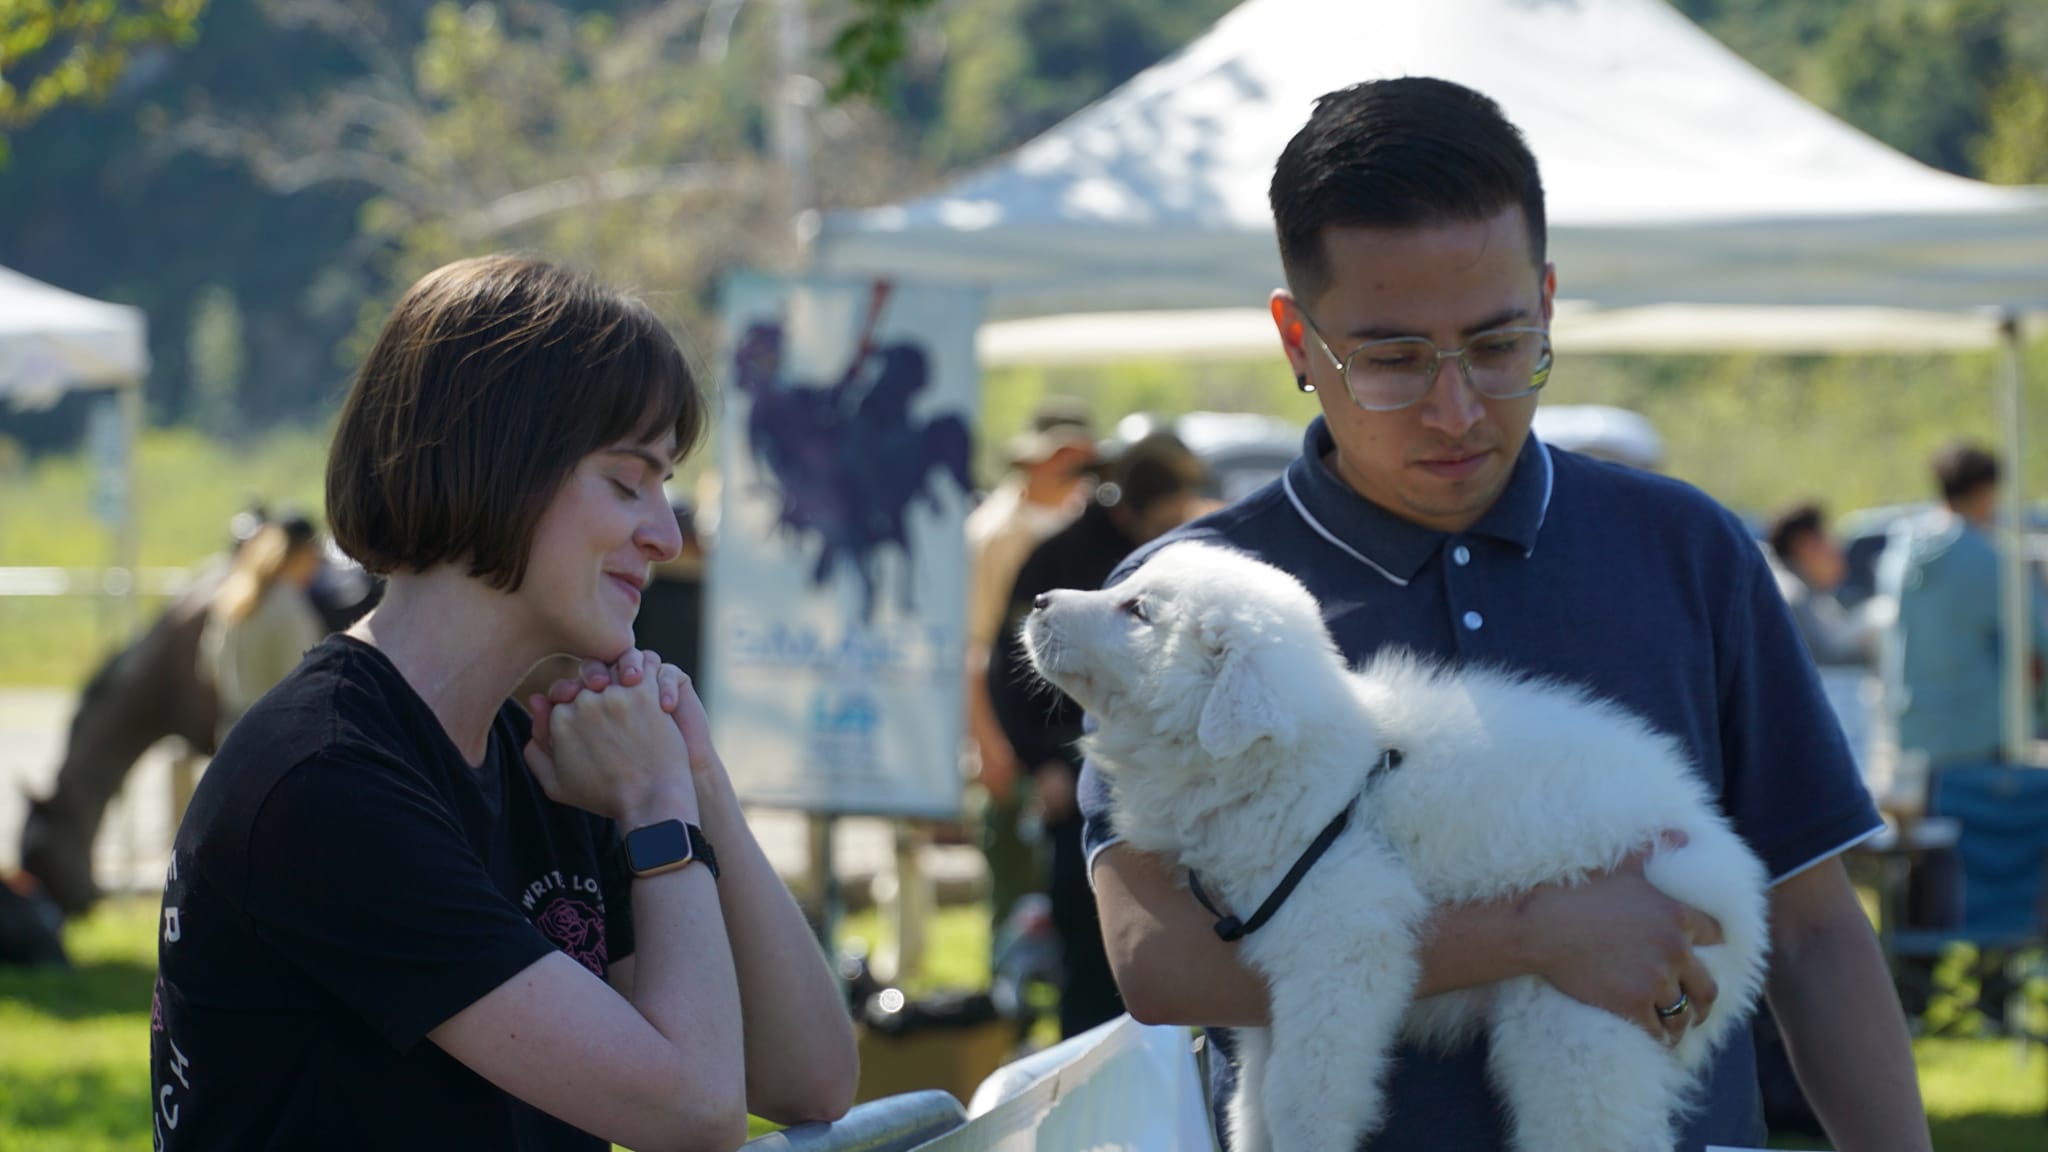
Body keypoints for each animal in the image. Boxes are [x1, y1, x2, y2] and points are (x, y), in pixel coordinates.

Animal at [1024, 541, 1777, 1147]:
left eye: (1137, 609)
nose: (1036, 599)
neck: (1298, 763)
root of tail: (1731, 881)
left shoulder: (1343, 942)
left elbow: (1302, 1094)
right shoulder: (1272, 970)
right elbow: (1255, 1098)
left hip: (1585, 1017)